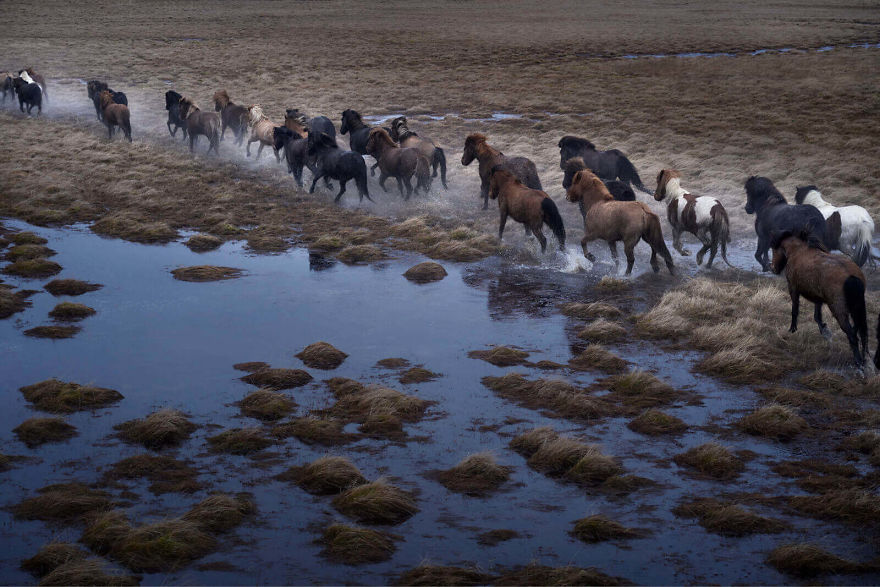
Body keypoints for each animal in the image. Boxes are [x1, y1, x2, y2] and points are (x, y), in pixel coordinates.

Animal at [771, 230, 868, 368]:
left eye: (774, 249)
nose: (773, 268)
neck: (798, 251)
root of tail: (851, 276)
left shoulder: (793, 289)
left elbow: (795, 310)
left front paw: (792, 329)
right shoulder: (818, 298)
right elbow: (817, 317)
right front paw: (825, 331)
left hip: (839, 310)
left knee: (852, 334)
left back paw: (858, 361)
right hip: (857, 308)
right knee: (861, 332)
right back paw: (863, 358)